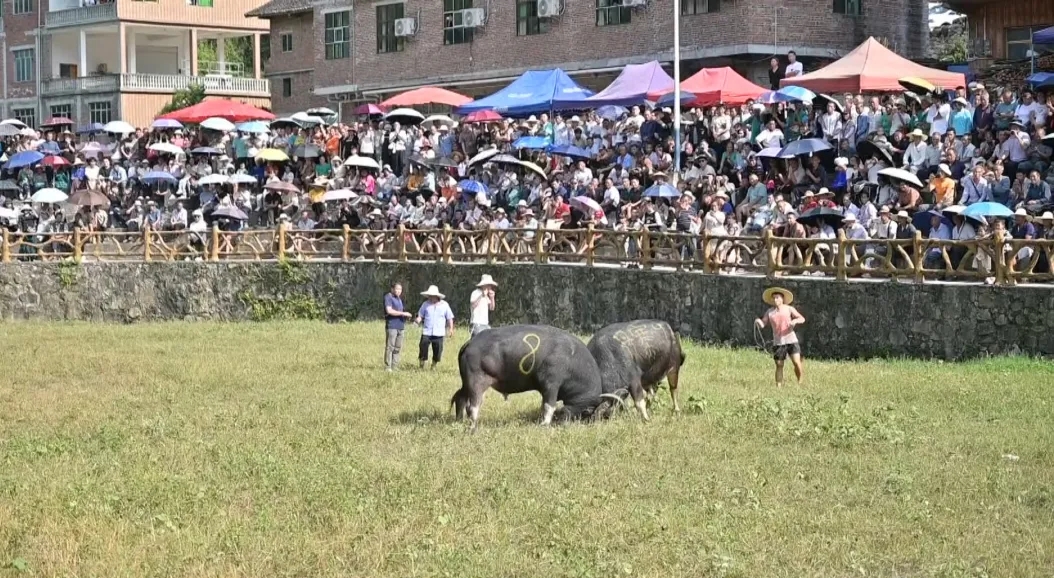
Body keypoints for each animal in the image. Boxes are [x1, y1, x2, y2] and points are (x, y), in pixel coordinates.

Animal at [451, 324, 615, 428]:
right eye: (587, 411)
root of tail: (469, 343)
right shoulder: (551, 381)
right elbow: (549, 405)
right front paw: (544, 425)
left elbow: (544, 405)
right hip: (476, 379)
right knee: (473, 405)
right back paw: (474, 426)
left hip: (466, 381)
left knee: (459, 397)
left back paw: (459, 420)